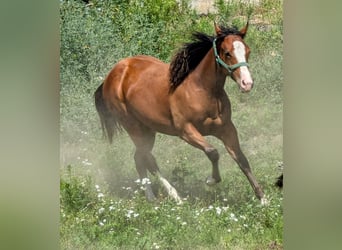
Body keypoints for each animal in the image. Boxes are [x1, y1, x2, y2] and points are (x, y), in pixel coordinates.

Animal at [93, 22, 268, 205]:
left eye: (247, 51)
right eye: (227, 53)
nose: (247, 83)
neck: (202, 90)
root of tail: (110, 76)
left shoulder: (226, 128)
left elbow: (241, 159)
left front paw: (263, 199)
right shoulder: (186, 131)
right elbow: (212, 152)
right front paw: (211, 180)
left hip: (148, 130)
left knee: (139, 158)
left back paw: (152, 196)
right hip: (134, 128)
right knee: (148, 159)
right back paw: (174, 196)